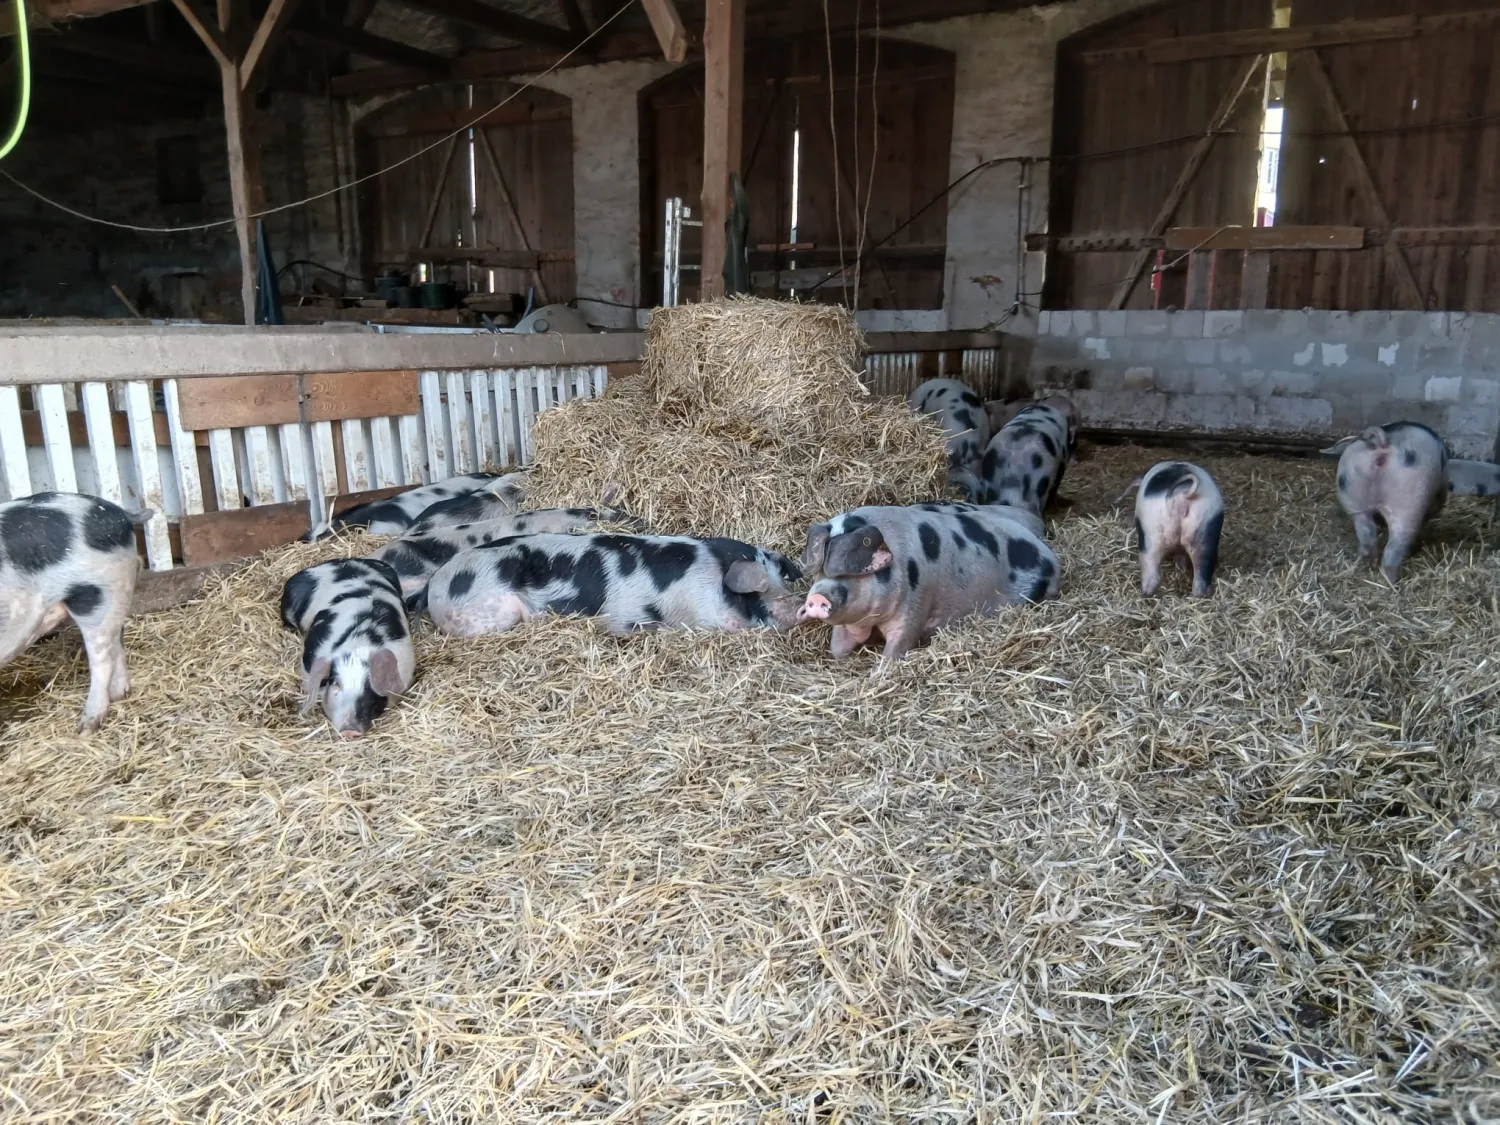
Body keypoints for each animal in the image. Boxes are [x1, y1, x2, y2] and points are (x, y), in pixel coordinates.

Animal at [0, 492, 149, 732]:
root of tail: (119, 512)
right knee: (116, 644)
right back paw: (119, 695)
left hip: (94, 598)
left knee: (102, 659)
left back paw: (86, 727)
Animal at [797, 503, 1060, 668]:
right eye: (818, 572)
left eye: (856, 571)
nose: (818, 597)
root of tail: (1051, 558)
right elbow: (838, 649)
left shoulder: (916, 604)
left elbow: (896, 649)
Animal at [1116, 461, 1225, 598]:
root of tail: (1181, 494)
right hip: (1206, 529)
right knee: (1202, 574)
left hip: (1151, 533)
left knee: (1151, 571)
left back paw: (1144, 594)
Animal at [1323, 421, 1448, 584]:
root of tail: (1381, 443)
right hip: (1409, 499)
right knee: (1395, 545)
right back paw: (1391, 581)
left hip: (1353, 495)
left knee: (1366, 533)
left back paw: (1369, 564)